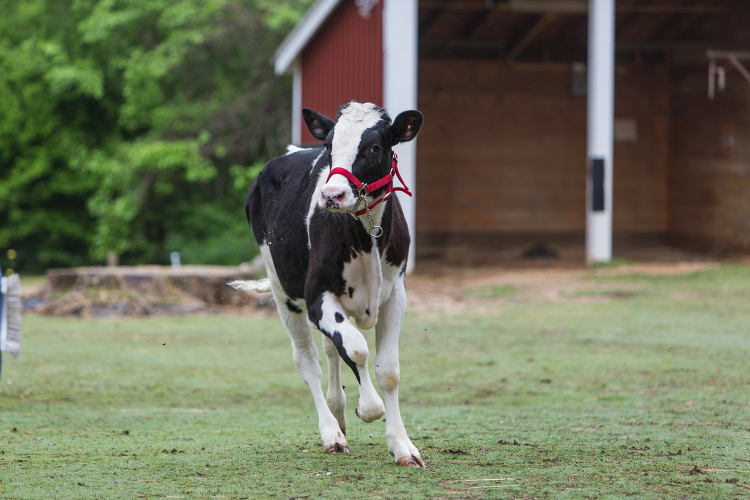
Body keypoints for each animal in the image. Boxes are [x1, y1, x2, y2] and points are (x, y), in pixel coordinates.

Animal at [229, 102, 428, 468]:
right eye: (329, 145)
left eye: (374, 147)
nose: (331, 194)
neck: (365, 237)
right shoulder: (317, 297)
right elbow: (356, 348)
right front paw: (368, 407)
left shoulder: (396, 294)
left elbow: (388, 370)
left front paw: (402, 446)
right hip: (282, 290)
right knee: (308, 361)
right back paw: (332, 432)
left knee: (329, 349)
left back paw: (339, 413)